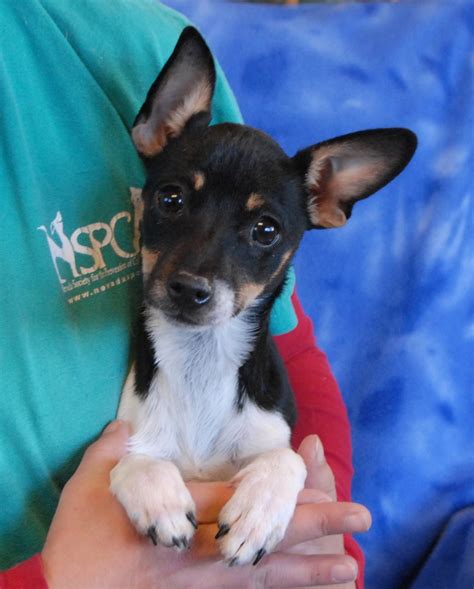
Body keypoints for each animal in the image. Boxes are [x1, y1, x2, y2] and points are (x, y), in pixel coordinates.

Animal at [109, 26, 416, 564]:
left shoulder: (276, 437)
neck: (201, 362)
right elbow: (132, 462)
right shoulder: (133, 435)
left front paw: (257, 511)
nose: (189, 288)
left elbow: (287, 461)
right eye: (170, 198)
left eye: (266, 231)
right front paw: (158, 497)